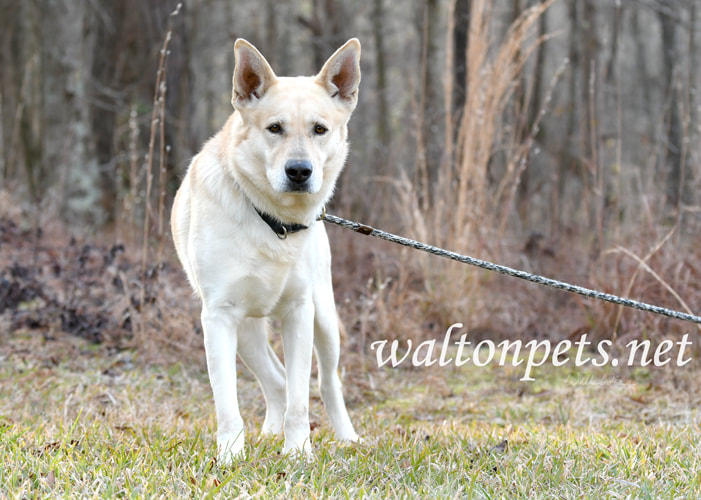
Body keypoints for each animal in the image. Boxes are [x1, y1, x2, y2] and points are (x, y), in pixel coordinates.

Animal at [170, 38, 360, 460]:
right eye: (275, 128)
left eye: (319, 129)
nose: (299, 171)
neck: (273, 222)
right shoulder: (219, 317)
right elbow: (227, 402)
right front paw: (229, 456)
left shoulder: (300, 312)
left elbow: (301, 399)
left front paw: (299, 453)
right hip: (247, 332)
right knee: (275, 379)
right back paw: (270, 433)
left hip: (324, 320)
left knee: (326, 382)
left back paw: (347, 437)